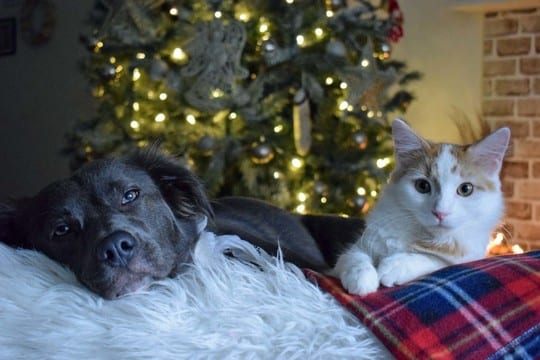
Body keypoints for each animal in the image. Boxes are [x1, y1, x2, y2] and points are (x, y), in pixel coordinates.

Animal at [332, 119, 512, 296]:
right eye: (423, 186)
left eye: (465, 189)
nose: (440, 213)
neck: (423, 235)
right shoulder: (359, 246)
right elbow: (353, 257)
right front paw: (361, 278)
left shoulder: (470, 256)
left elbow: (434, 260)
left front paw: (395, 265)